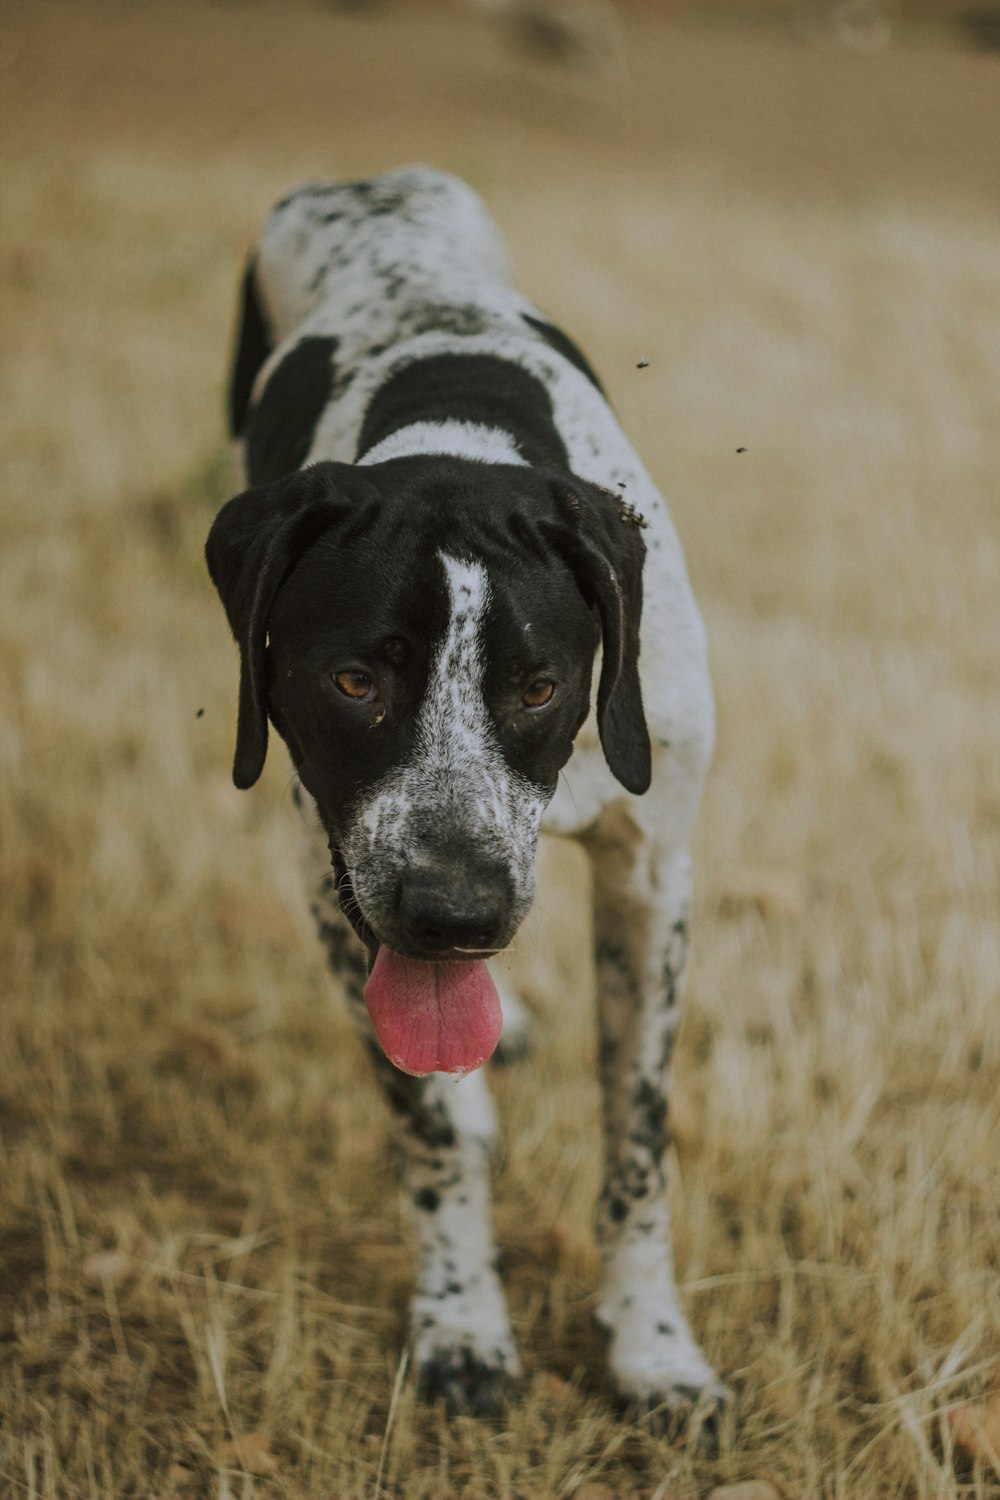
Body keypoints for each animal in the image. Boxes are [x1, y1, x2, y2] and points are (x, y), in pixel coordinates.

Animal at [206, 167, 731, 1428]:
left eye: (538, 684)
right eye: (354, 679)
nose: (454, 914)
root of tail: (358, 182)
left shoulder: (650, 873)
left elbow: (637, 1139)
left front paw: (651, 1347)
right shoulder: (337, 892)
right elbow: (430, 1127)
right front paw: (461, 1324)